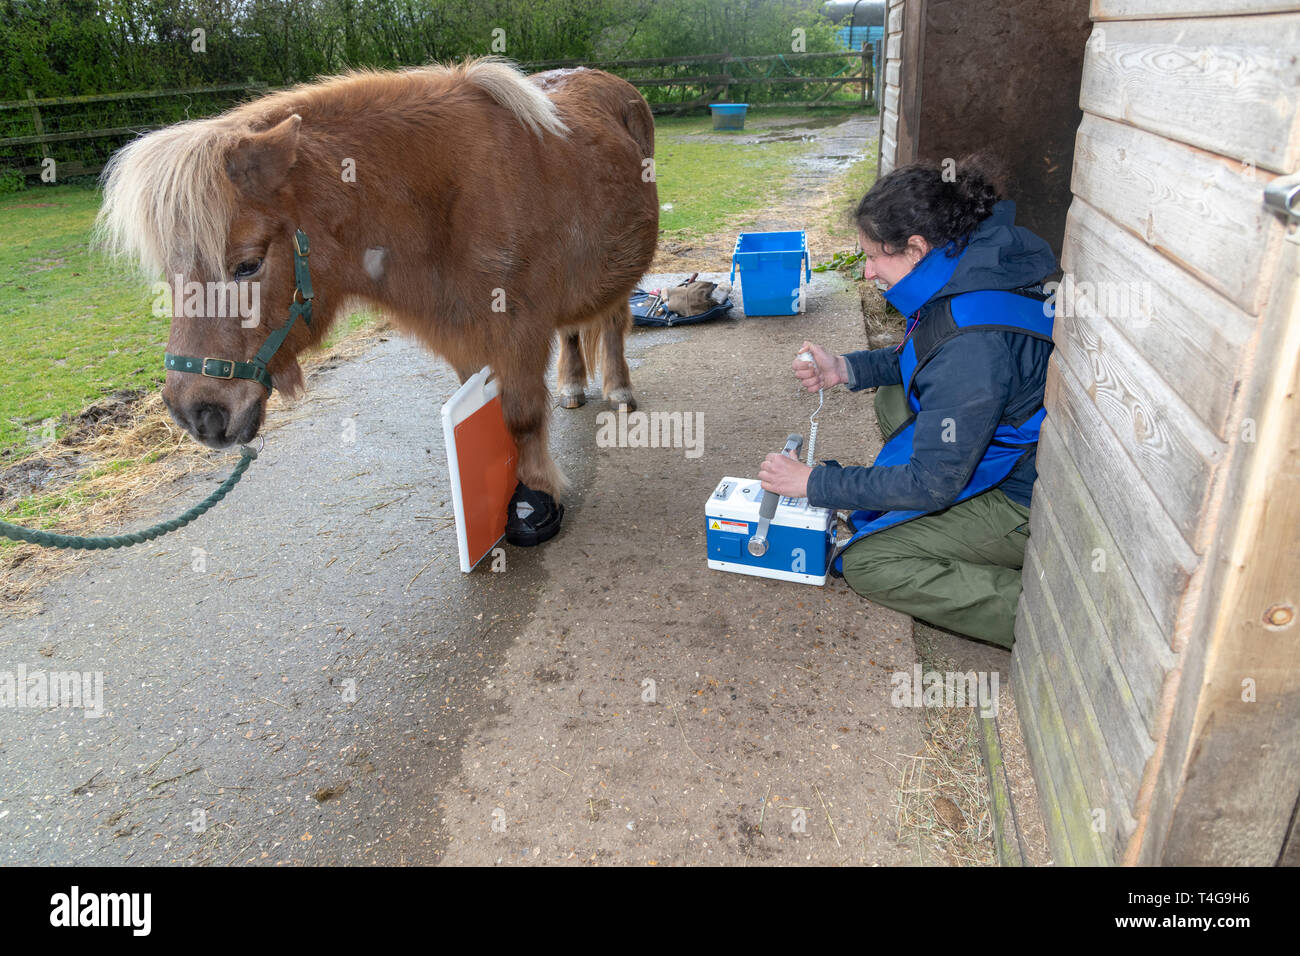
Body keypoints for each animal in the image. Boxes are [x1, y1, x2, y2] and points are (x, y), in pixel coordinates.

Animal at [98, 60, 660, 515]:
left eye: (247, 265)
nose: (195, 412)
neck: (446, 199)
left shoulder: (518, 331)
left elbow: (520, 417)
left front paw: (537, 492)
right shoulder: (468, 340)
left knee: (611, 321)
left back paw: (618, 388)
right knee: (573, 331)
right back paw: (572, 385)